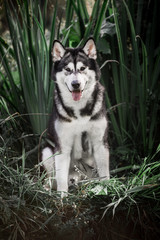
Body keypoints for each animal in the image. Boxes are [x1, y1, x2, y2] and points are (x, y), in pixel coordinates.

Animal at [41, 38, 109, 195]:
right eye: (67, 70)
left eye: (82, 68)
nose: (76, 84)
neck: (79, 110)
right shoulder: (62, 147)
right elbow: (61, 178)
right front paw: (62, 197)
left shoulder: (100, 143)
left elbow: (105, 174)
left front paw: (108, 189)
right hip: (47, 152)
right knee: (53, 178)